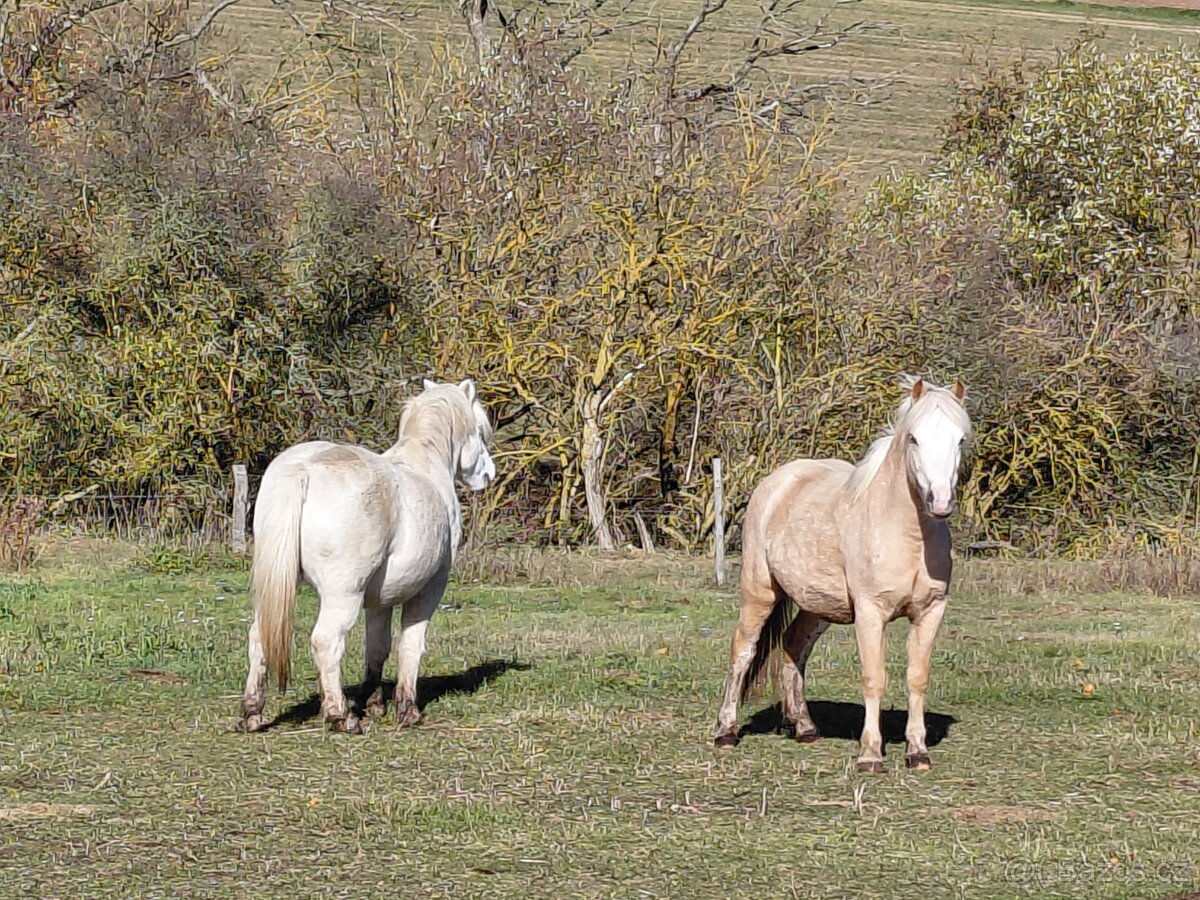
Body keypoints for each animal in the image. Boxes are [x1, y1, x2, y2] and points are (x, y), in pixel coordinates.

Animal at [236, 378, 496, 735]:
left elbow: (377, 648)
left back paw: (252, 713)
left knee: (259, 638)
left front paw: (373, 704)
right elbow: (410, 645)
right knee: (326, 642)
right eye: (480, 431)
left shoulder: (380, 599)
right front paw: (407, 710)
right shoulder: (429, 590)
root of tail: (303, 469)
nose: (488, 474)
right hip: (343, 595)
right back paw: (340, 716)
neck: (426, 468)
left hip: (278, 586)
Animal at [713, 377, 971, 772]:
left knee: (793, 647)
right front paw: (870, 754)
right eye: (913, 438)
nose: (940, 501)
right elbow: (874, 678)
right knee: (743, 650)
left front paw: (917, 752)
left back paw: (805, 727)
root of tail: (777, 482)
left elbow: (917, 678)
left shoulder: (931, 611)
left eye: (960, 440)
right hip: (759, 591)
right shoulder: (870, 613)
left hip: (818, 606)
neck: (908, 538)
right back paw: (725, 732)